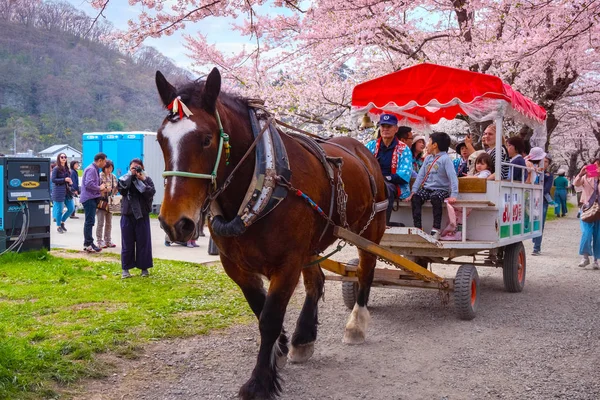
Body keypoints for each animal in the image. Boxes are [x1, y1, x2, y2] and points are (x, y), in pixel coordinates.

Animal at [155, 69, 386, 400]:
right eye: (161, 139)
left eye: (206, 139)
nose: (175, 223)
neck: (264, 180)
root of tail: (363, 150)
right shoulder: (234, 263)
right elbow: (258, 307)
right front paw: (282, 347)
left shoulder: (287, 263)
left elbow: (270, 317)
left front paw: (260, 381)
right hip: (312, 244)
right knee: (316, 282)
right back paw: (303, 338)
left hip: (371, 229)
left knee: (366, 271)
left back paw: (356, 325)